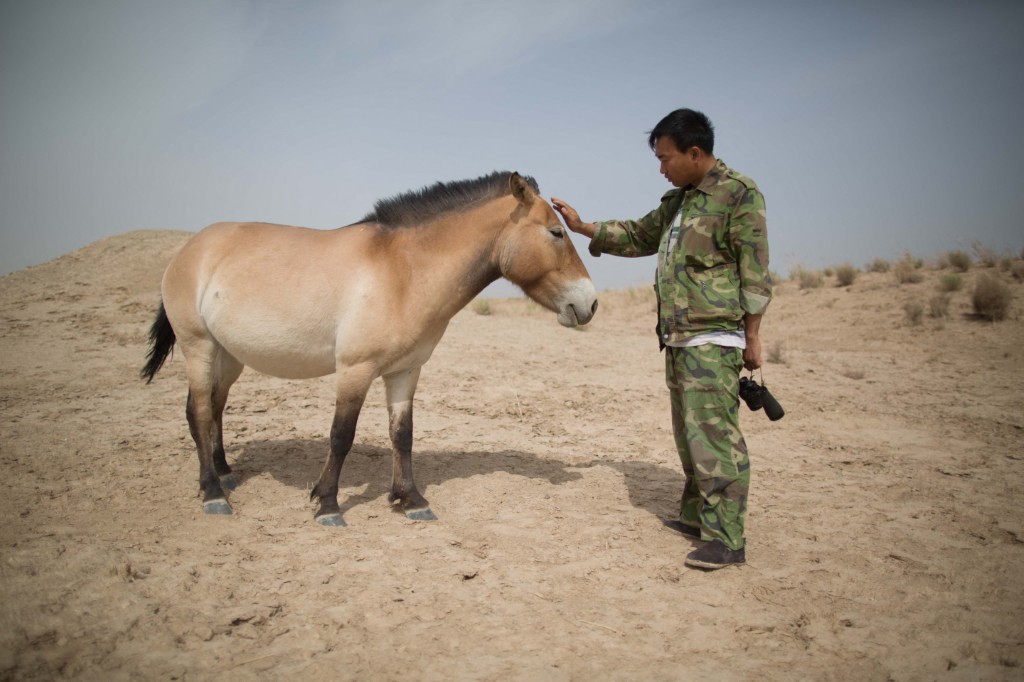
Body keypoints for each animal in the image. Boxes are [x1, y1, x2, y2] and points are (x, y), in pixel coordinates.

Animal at [141, 171, 598, 526]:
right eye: (556, 232)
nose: (589, 303)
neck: (403, 271)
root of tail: (191, 249)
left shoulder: (405, 371)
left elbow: (403, 434)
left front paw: (411, 500)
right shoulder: (355, 370)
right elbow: (341, 435)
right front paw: (327, 503)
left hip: (229, 354)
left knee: (214, 407)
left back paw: (223, 473)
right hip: (199, 346)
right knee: (199, 411)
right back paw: (213, 494)